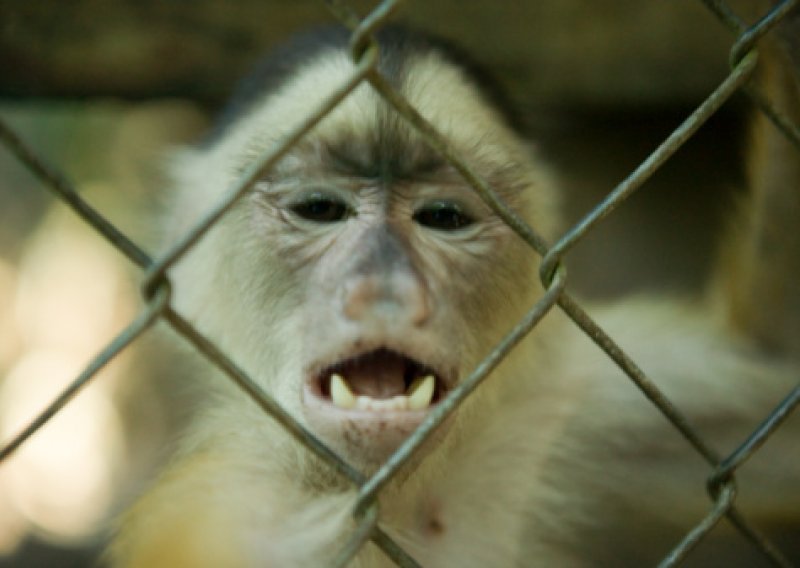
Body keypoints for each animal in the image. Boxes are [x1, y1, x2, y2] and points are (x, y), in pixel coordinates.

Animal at [111, 17, 800, 568]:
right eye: (319, 209)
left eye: (443, 218)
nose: (385, 290)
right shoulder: (226, 504)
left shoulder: (559, 407)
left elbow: (773, 362)